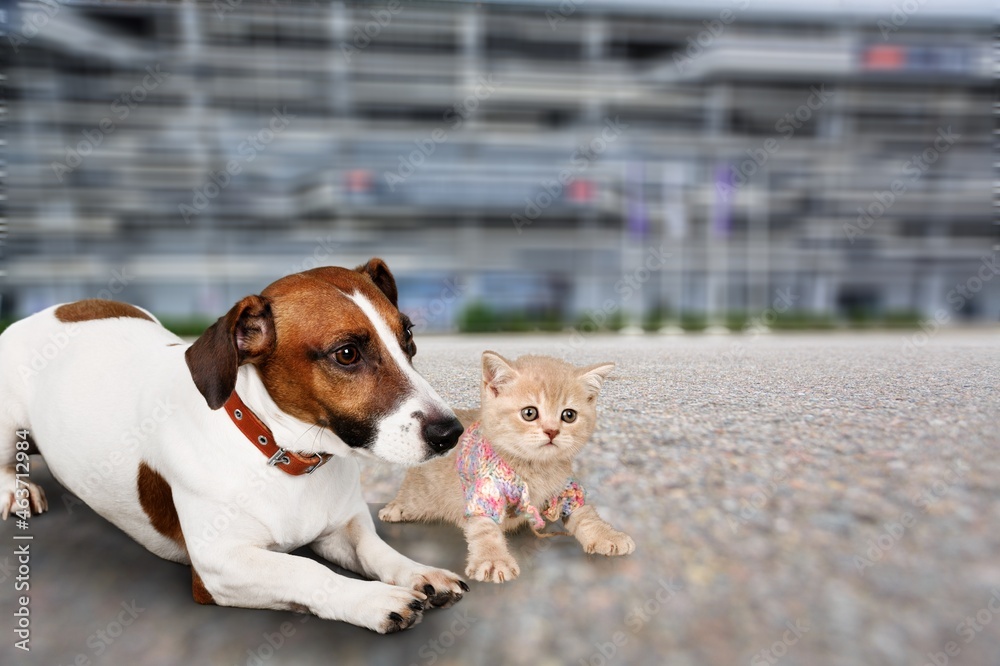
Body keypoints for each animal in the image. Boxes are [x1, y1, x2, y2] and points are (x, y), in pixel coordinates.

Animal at [0, 256, 468, 632]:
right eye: (347, 353)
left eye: (408, 337)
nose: (450, 433)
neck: (278, 451)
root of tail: (52, 309)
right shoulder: (218, 566)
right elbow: (305, 570)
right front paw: (370, 599)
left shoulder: (342, 529)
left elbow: (375, 550)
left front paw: (418, 572)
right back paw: (16, 491)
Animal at [376, 350, 632, 580]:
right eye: (529, 413)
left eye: (569, 415)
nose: (552, 431)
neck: (534, 468)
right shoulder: (483, 494)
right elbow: (485, 529)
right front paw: (493, 560)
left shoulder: (567, 489)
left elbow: (584, 513)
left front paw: (607, 535)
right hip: (422, 493)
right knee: (411, 495)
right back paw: (396, 508)